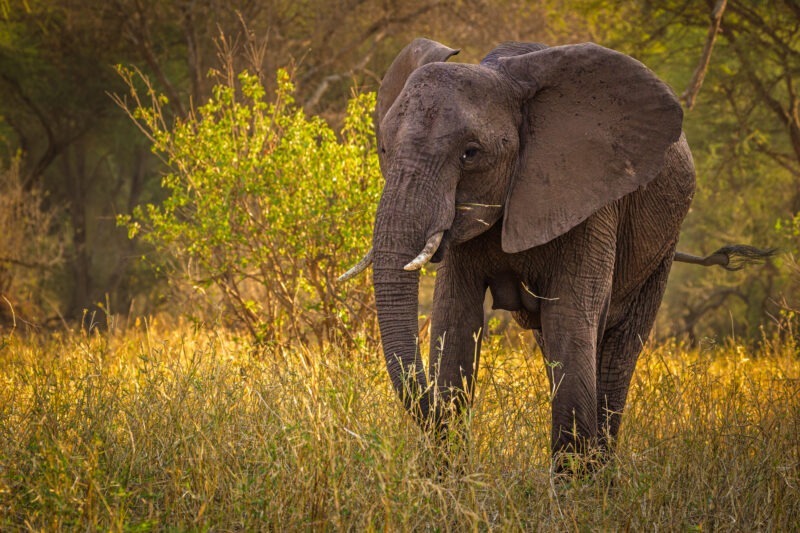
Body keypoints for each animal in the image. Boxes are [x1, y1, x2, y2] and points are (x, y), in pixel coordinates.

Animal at [340, 37, 776, 470]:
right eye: (384, 148)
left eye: (471, 153)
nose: (436, 418)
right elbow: (455, 319)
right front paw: (447, 476)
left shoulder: (593, 200)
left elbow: (570, 316)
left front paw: (574, 484)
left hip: (663, 245)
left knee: (616, 350)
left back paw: (602, 469)